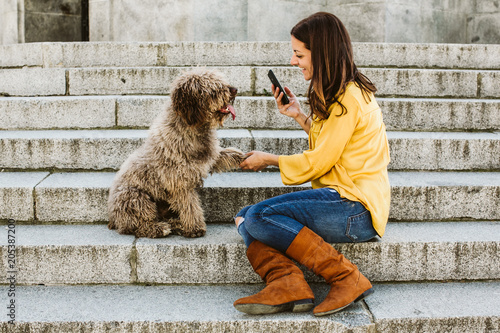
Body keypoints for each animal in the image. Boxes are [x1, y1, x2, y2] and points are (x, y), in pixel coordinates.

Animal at [108, 68, 245, 237]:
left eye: (222, 82)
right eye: (214, 89)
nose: (235, 90)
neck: (192, 127)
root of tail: (113, 219)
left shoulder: (208, 157)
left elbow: (222, 155)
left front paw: (241, 156)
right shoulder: (178, 180)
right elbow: (190, 205)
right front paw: (195, 228)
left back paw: (176, 224)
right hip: (136, 198)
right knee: (139, 225)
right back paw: (160, 228)